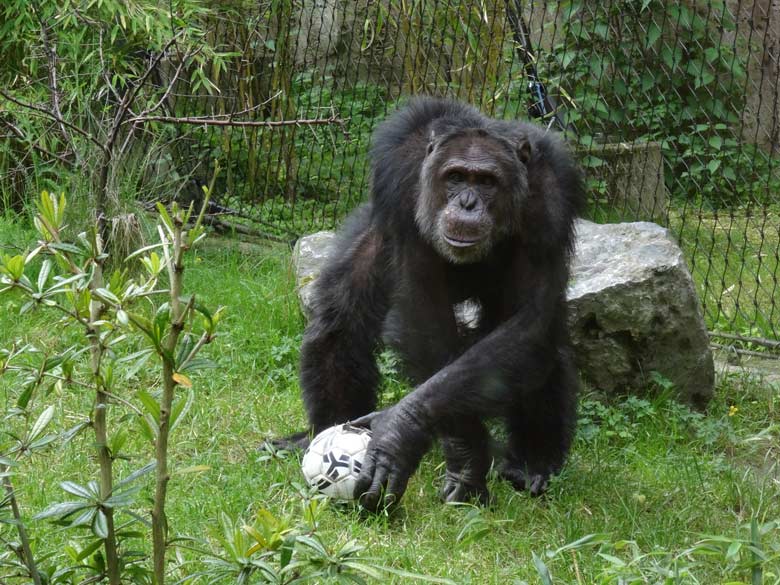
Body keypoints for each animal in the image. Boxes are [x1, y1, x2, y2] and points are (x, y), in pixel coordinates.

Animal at [284, 97, 580, 512]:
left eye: (486, 182)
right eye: (455, 177)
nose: (467, 203)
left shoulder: (551, 197)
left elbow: (528, 319)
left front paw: (400, 432)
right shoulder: (401, 174)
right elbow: (422, 308)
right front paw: (467, 454)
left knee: (543, 344)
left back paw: (532, 463)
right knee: (340, 318)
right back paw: (320, 428)